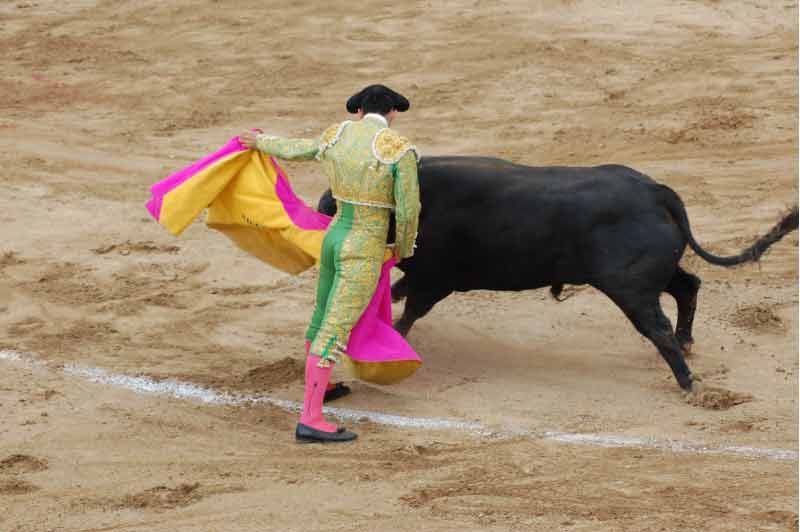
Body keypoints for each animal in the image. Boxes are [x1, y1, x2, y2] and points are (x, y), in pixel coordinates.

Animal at [316, 156, 796, 392]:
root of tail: (656, 191)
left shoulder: (435, 279)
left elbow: (408, 311)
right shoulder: (428, 279)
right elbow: (403, 300)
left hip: (630, 288)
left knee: (657, 326)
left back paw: (687, 382)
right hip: (647, 277)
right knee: (687, 286)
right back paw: (688, 345)